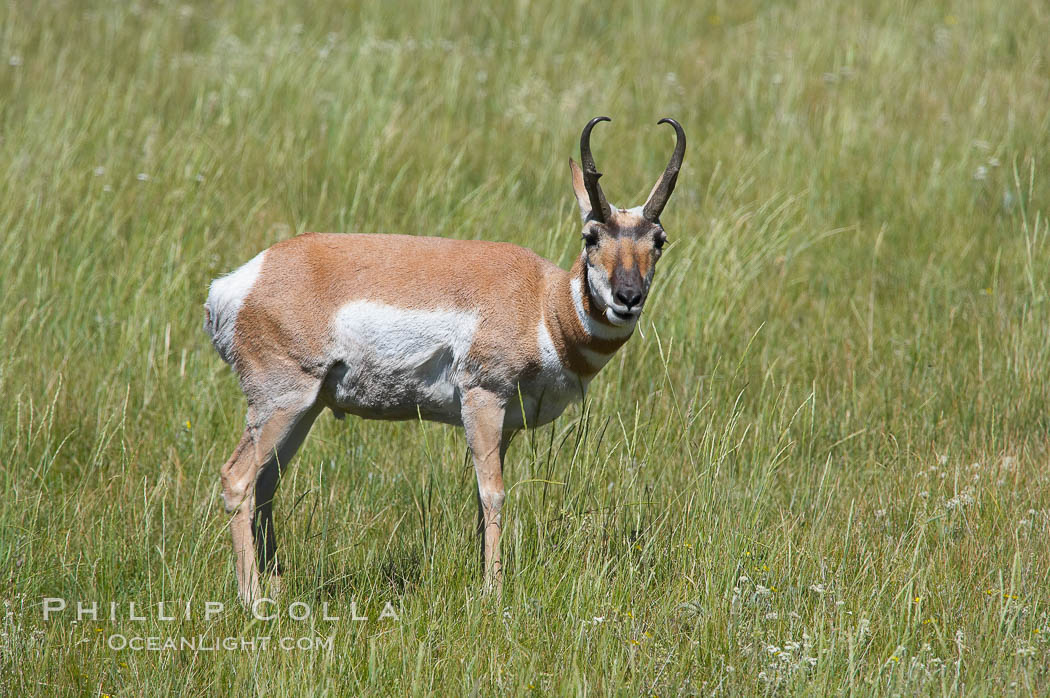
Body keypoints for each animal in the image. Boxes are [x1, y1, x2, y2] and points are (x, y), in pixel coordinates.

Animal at [204, 117, 684, 600]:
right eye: (591, 236)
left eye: (659, 240)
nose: (628, 297)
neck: (541, 303)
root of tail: (241, 281)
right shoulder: (483, 399)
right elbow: (494, 493)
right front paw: (493, 591)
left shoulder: (505, 425)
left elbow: (481, 495)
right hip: (282, 403)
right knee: (237, 479)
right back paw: (253, 598)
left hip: (305, 409)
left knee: (267, 483)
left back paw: (275, 584)